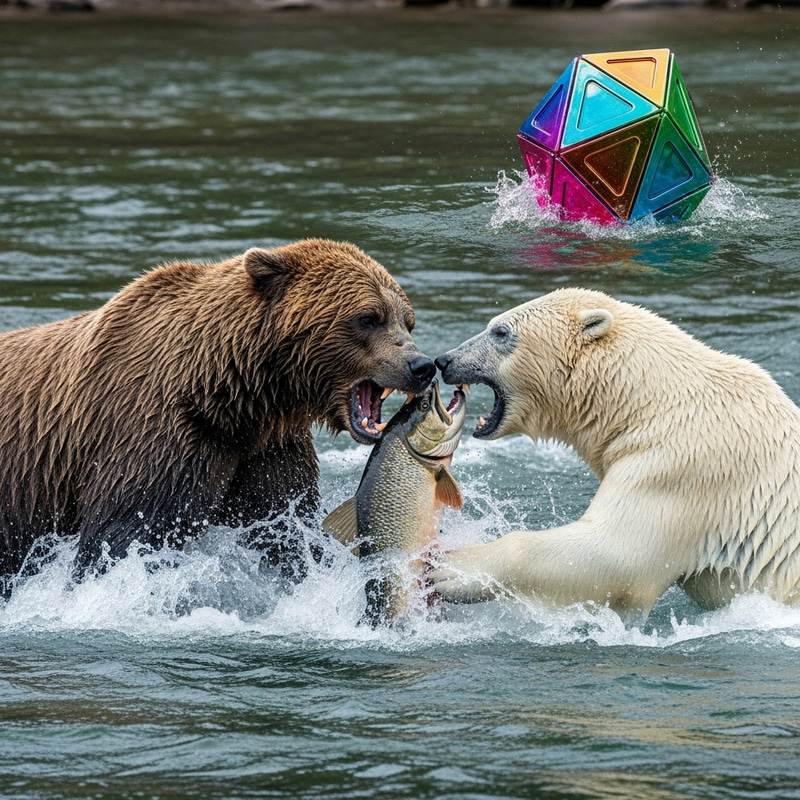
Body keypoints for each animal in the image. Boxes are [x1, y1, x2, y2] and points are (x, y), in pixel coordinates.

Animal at [0, 238, 436, 589]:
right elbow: (123, 537)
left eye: (407, 320)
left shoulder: (265, 450)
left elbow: (283, 529)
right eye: (368, 318)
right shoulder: (153, 435)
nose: (421, 365)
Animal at [431, 287, 800, 617]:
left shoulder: (685, 463)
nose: (444, 360)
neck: (650, 401)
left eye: (500, 331)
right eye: (493, 325)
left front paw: (451, 568)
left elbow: (617, 554)